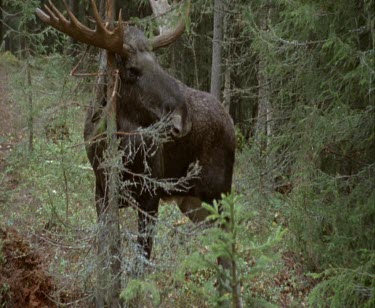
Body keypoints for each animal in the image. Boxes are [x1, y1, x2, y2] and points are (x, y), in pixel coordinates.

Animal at [36, 0, 235, 264]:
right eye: (131, 70)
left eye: (158, 63)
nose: (183, 119)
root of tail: (231, 123)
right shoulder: (102, 193)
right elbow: (109, 254)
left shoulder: (149, 198)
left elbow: (142, 262)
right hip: (191, 202)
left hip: (219, 193)